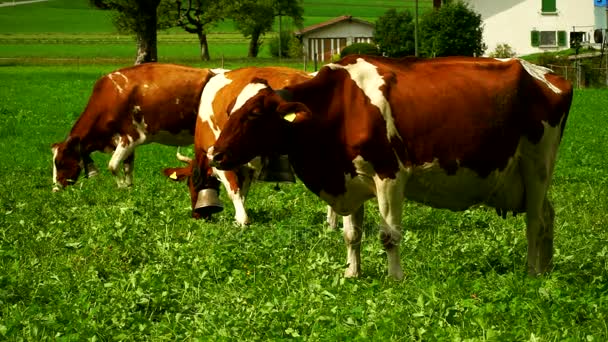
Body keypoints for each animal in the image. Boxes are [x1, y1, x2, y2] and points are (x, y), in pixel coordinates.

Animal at [52, 62, 217, 191]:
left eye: (60, 163)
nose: (55, 189)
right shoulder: (126, 142)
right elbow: (128, 168)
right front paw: (129, 188)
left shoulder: (130, 136)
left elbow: (112, 166)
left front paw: (121, 187)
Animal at [210, 55, 576, 278]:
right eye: (230, 111)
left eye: (254, 114)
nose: (215, 153)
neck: (340, 106)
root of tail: (547, 73)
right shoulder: (350, 179)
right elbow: (351, 234)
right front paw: (352, 273)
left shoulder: (390, 175)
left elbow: (389, 235)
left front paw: (395, 277)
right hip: (526, 177)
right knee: (549, 214)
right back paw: (547, 267)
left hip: (537, 165)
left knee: (535, 221)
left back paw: (531, 270)